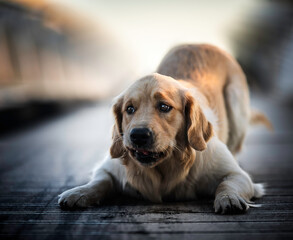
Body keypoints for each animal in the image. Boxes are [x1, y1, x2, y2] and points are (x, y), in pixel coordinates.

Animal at [57, 44, 270, 213]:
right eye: (129, 109)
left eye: (164, 107)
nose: (138, 135)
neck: (166, 169)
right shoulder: (109, 167)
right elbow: (100, 180)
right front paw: (79, 192)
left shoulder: (238, 175)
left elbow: (227, 184)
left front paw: (229, 198)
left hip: (236, 105)